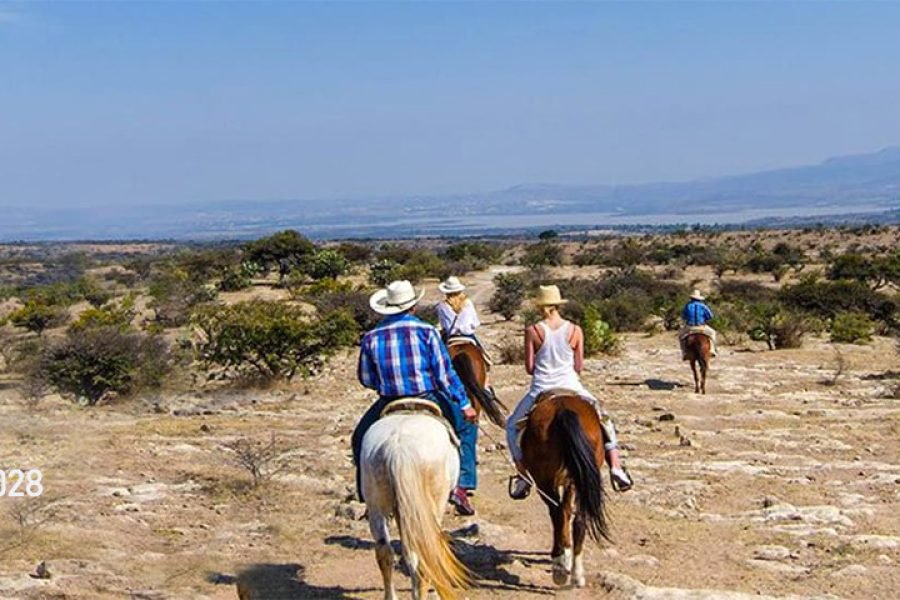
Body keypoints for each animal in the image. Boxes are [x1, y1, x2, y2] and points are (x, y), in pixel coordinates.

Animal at [360, 404, 472, 600]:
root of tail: (398, 446)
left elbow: (407, 552)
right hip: (431, 508)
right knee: (425, 556)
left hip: (377, 506)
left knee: (384, 552)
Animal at [516, 392, 608, 588]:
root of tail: (563, 410)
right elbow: (567, 511)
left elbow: (560, 513)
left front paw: (563, 554)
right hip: (579, 477)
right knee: (579, 520)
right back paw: (576, 575)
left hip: (545, 480)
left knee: (557, 513)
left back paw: (559, 568)